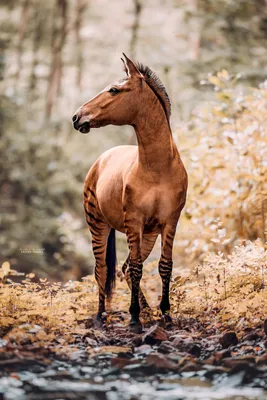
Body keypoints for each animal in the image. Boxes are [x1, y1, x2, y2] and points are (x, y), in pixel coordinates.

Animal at [72, 54, 187, 332]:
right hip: (97, 225)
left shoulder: (169, 222)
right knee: (102, 269)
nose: (77, 117)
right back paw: (102, 316)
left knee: (122, 268)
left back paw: (146, 310)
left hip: (149, 234)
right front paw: (134, 318)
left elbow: (164, 266)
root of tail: (101, 159)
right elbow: (136, 269)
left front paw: (165, 314)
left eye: (114, 90)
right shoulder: (133, 222)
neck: (158, 167)